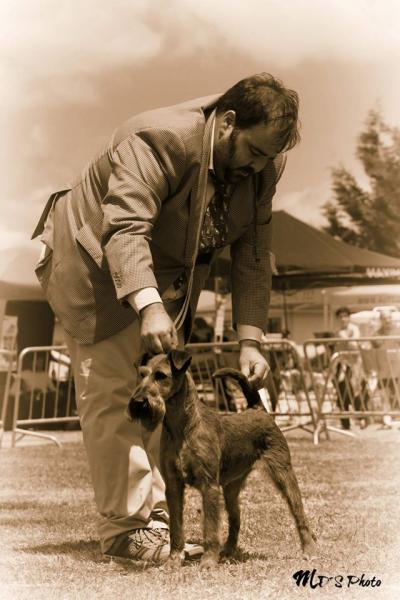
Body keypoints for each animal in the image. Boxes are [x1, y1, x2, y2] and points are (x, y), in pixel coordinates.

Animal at [127, 350, 316, 568]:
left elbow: (210, 528)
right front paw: (173, 561)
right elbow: (176, 528)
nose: (138, 402)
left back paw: (309, 549)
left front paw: (208, 562)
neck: (182, 428)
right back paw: (228, 551)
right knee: (236, 519)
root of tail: (258, 409)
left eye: (161, 375)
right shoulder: (173, 486)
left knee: (299, 514)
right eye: (142, 374)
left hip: (283, 474)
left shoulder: (209, 486)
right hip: (231, 488)